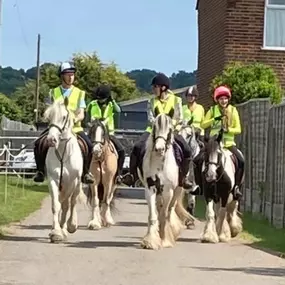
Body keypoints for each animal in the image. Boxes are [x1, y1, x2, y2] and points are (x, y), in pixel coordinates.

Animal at [43, 97, 82, 242]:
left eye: (64, 117)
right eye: (48, 117)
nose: (51, 140)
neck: (63, 152)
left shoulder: (72, 181)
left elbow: (67, 205)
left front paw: (65, 229)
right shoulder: (53, 180)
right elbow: (56, 205)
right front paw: (55, 232)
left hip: (76, 185)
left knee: (72, 202)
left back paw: (69, 226)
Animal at [136, 112, 194, 248]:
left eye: (169, 129)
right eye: (154, 127)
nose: (159, 149)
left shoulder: (168, 191)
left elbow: (164, 214)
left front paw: (165, 240)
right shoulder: (151, 188)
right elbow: (153, 215)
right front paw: (150, 241)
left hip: (178, 189)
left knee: (170, 209)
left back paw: (172, 231)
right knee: (159, 207)